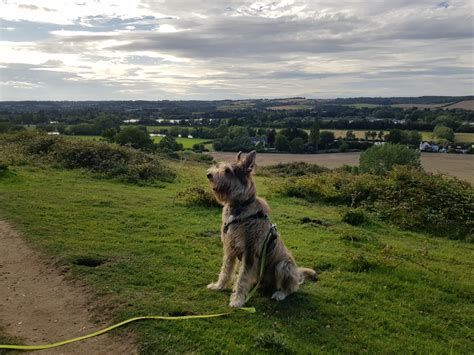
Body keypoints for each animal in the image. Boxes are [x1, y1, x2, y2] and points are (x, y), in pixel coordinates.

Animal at [206, 152, 314, 308]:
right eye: (219, 167)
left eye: (227, 171)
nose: (209, 174)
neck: (239, 207)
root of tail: (297, 274)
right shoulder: (229, 248)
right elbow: (226, 270)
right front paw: (218, 286)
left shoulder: (250, 252)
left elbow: (242, 278)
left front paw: (237, 300)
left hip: (284, 266)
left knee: (291, 288)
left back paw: (280, 294)